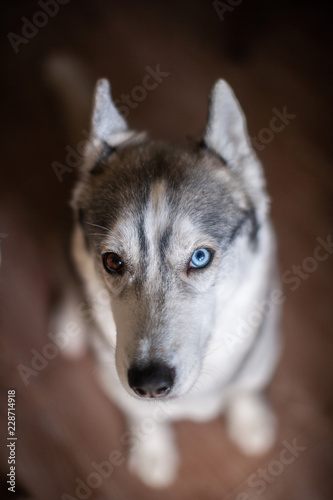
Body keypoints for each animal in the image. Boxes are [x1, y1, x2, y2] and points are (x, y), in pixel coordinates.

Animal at [67, 78, 280, 488]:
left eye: (200, 257)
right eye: (113, 261)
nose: (150, 383)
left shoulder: (261, 348)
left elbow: (245, 385)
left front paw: (249, 418)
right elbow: (140, 415)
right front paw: (153, 451)